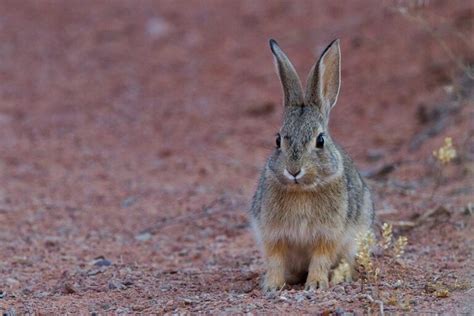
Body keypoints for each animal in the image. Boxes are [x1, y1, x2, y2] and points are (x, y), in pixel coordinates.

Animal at [250, 39, 376, 292]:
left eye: (320, 141)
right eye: (278, 140)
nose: (294, 171)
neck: (302, 190)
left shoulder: (328, 235)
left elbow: (320, 258)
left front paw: (316, 284)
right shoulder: (273, 235)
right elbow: (275, 260)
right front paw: (272, 286)